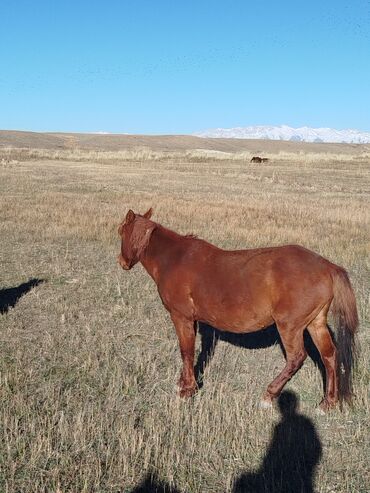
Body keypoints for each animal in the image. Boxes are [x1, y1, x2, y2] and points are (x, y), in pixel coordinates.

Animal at [118, 209, 358, 410]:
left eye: (121, 232)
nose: (122, 262)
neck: (174, 258)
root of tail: (327, 266)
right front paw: (183, 383)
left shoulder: (181, 317)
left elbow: (186, 351)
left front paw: (187, 391)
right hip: (315, 323)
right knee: (329, 356)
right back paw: (328, 403)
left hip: (290, 326)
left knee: (296, 358)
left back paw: (269, 395)